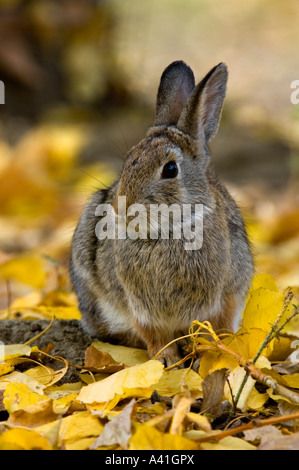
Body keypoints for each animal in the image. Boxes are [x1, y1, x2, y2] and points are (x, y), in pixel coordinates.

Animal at [70, 59, 253, 368]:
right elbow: (155, 335)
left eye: (170, 169)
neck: (168, 233)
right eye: (129, 160)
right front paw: (166, 361)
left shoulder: (224, 298)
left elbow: (216, 329)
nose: (122, 208)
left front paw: (210, 356)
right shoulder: (141, 310)